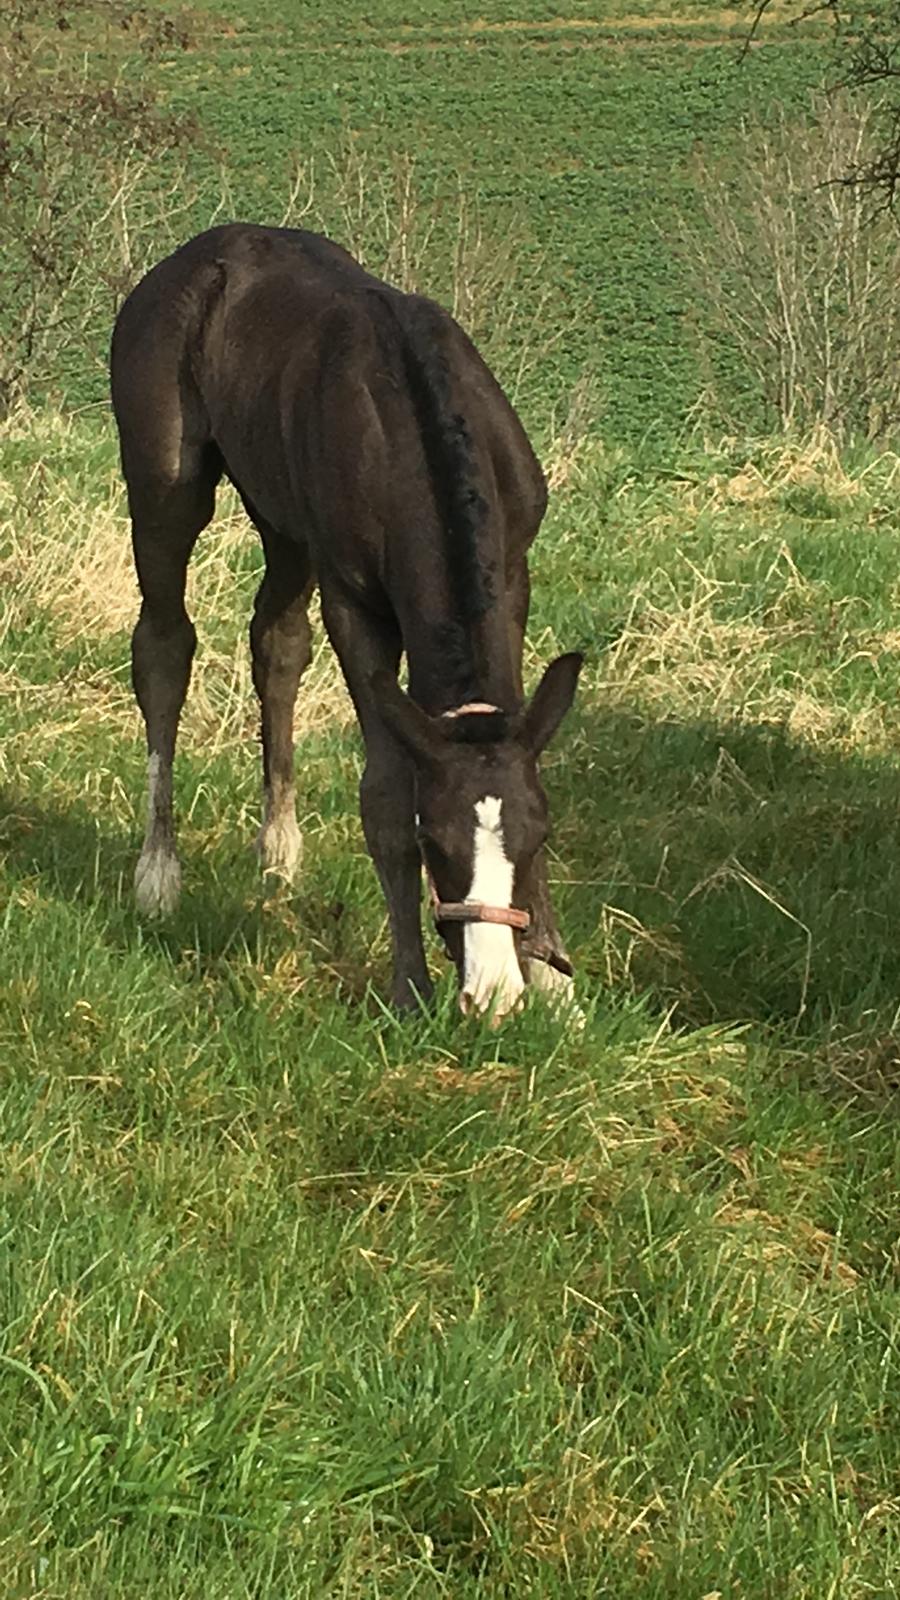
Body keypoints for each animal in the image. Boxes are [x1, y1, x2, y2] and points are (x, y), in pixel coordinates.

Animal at [110, 224, 582, 1017]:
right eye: (435, 841)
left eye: (537, 834)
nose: (490, 994)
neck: (412, 427)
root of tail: (190, 257)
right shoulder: (355, 603)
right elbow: (383, 793)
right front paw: (410, 986)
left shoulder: (515, 576)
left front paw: (551, 975)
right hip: (165, 485)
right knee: (164, 646)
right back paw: (158, 875)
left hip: (282, 517)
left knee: (276, 643)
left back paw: (278, 850)